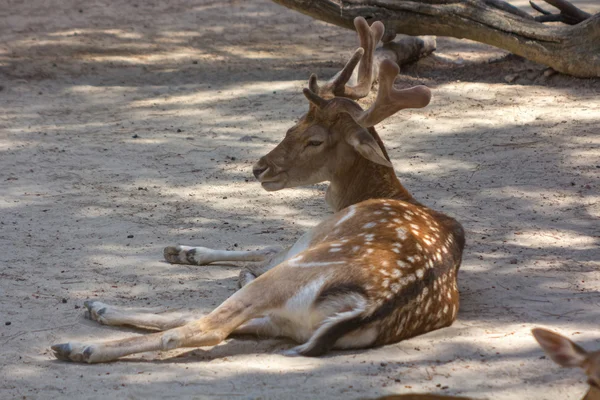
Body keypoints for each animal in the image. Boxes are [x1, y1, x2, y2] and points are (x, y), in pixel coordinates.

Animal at [51, 17, 464, 364]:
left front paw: (185, 252)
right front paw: (182, 250)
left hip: (294, 273)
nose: (259, 167)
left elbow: (263, 252)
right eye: (293, 124)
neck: (378, 193)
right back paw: (99, 310)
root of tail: (368, 306)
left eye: (315, 140)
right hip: (291, 323)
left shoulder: (307, 240)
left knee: (206, 326)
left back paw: (80, 345)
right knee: (216, 319)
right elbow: (259, 248)